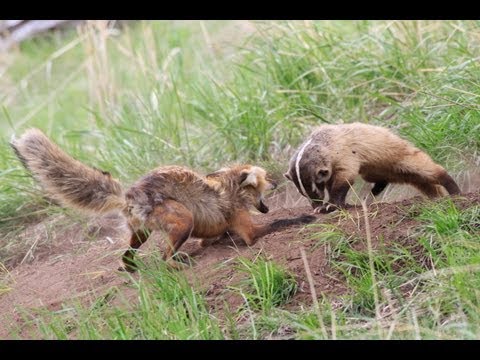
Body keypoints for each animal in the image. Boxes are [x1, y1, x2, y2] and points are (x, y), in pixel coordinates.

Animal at [11, 129, 316, 270]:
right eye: (265, 179)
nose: (279, 180)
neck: (231, 189)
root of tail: (129, 194)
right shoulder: (249, 232)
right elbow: (280, 223)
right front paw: (305, 217)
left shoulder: (215, 231)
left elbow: (216, 237)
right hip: (183, 220)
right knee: (162, 258)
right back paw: (176, 264)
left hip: (142, 233)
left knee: (127, 257)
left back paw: (132, 270)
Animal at [284, 122, 462, 212]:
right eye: (302, 192)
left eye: (314, 190)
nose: (315, 205)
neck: (323, 142)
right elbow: (333, 181)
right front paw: (325, 206)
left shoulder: (344, 155)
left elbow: (344, 179)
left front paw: (331, 205)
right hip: (375, 170)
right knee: (387, 181)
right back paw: (372, 193)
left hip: (401, 157)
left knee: (427, 169)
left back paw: (454, 190)